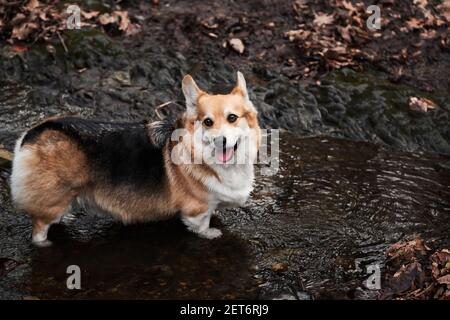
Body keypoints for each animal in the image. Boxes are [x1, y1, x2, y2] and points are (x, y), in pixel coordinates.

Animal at [9, 72, 260, 246]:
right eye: (207, 122)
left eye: (232, 118)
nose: (221, 141)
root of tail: (33, 132)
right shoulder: (196, 210)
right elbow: (201, 224)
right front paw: (211, 233)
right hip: (52, 202)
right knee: (39, 228)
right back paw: (45, 243)